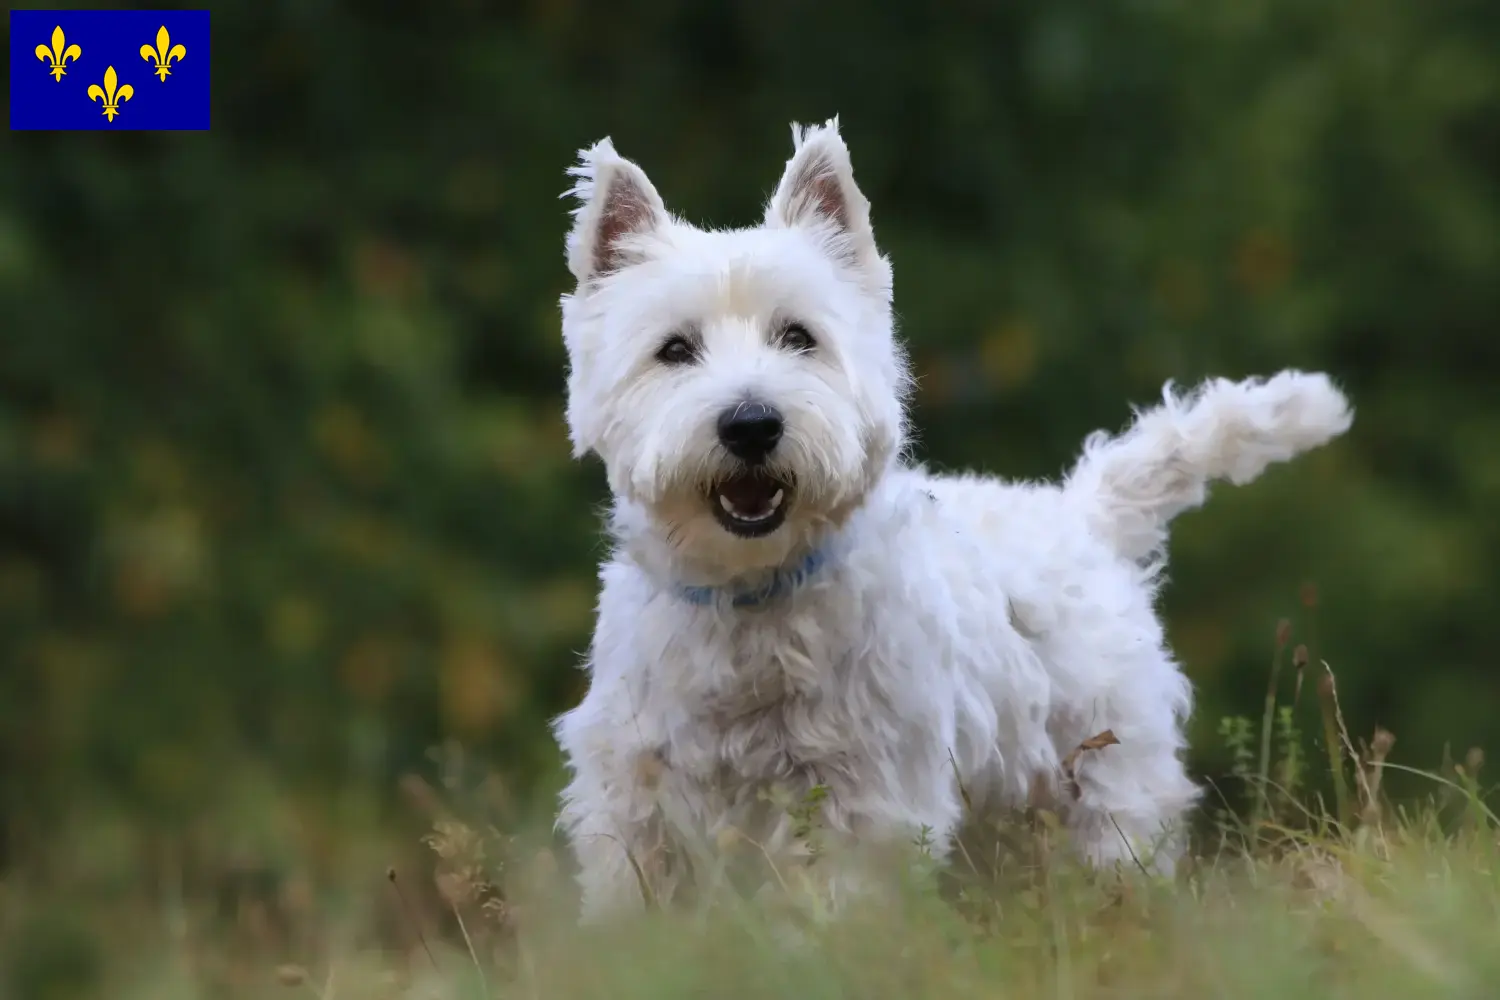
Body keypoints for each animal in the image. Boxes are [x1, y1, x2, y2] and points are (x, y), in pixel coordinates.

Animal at [552, 117, 1362, 923]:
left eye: (799, 336)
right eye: (674, 349)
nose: (751, 424)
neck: (750, 598)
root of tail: (1083, 514)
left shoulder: (866, 794)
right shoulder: (631, 792)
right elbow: (636, 897)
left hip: (1105, 778)